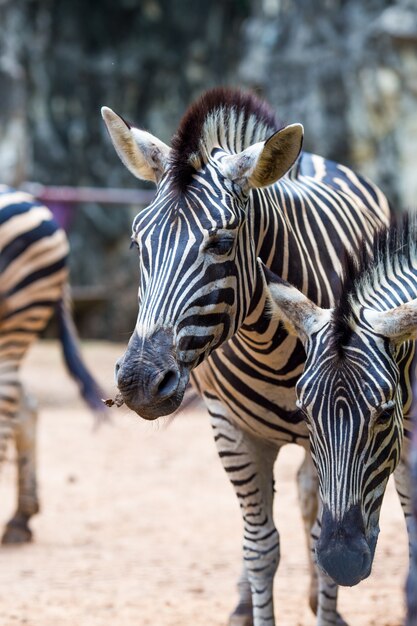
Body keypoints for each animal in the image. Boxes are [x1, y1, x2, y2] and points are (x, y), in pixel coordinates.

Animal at [101, 89, 394, 624]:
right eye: (137, 243)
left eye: (220, 242)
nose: (139, 382)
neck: (270, 343)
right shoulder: (229, 428)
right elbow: (260, 548)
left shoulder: (341, 426)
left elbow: (323, 534)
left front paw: (327, 607)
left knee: (307, 498)